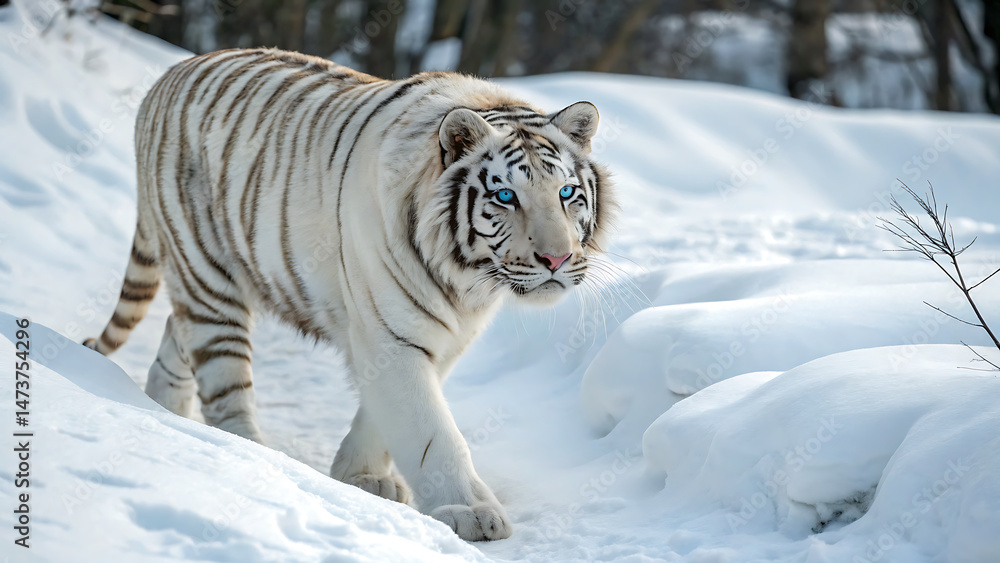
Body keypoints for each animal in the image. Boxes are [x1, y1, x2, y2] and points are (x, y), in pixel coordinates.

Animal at [83, 48, 615, 541]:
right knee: (223, 379)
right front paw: (470, 511)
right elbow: (431, 429)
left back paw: (165, 409)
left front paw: (360, 475)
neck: (466, 280)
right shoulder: (393, 333)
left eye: (566, 193)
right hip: (206, 270)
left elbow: (386, 416)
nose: (557, 259)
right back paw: (250, 453)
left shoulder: (442, 338)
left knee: (178, 331)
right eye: (506, 196)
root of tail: (168, 76)